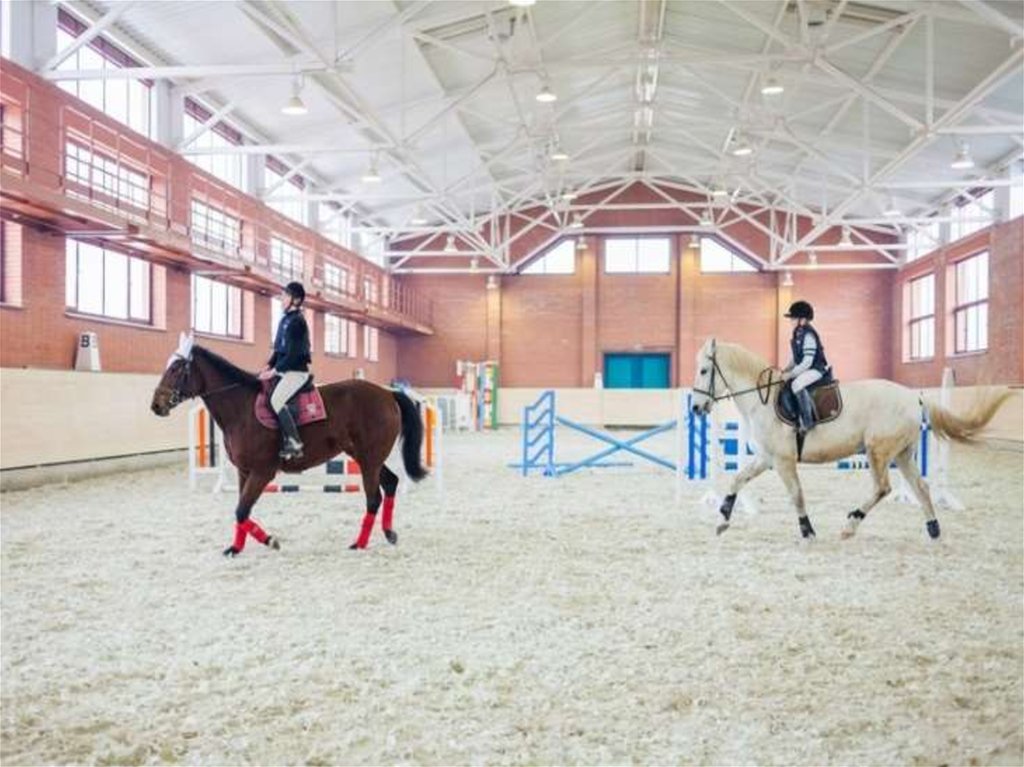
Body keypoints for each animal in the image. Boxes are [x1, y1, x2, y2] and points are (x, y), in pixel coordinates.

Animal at [149, 331, 425, 552]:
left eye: (176, 369)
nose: (156, 405)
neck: (241, 408)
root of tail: (388, 394)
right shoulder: (244, 471)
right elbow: (241, 511)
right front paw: (237, 547)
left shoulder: (262, 472)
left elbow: (241, 510)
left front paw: (269, 541)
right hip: (368, 458)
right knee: (390, 483)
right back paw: (388, 533)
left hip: (369, 460)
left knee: (374, 498)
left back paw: (360, 543)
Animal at [692, 337, 1011, 540]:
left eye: (704, 370)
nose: (696, 408)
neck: (765, 399)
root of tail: (913, 396)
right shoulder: (765, 458)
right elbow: (737, 480)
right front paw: (722, 519)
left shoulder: (783, 461)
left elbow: (796, 495)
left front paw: (807, 531)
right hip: (902, 454)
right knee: (920, 487)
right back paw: (933, 529)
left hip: (878, 452)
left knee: (882, 488)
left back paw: (850, 525)